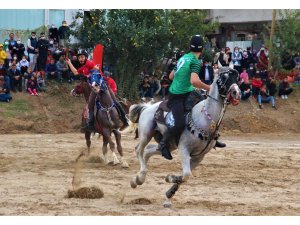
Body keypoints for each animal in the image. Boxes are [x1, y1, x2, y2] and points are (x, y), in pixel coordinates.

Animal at [127, 67, 240, 207]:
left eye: (237, 77)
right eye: (224, 77)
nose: (236, 92)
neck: (205, 119)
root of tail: (148, 107)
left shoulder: (199, 156)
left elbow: (185, 176)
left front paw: (169, 195)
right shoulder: (184, 148)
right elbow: (186, 174)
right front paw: (170, 178)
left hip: (169, 145)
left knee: (148, 151)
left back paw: (138, 178)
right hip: (146, 134)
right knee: (139, 149)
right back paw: (139, 177)